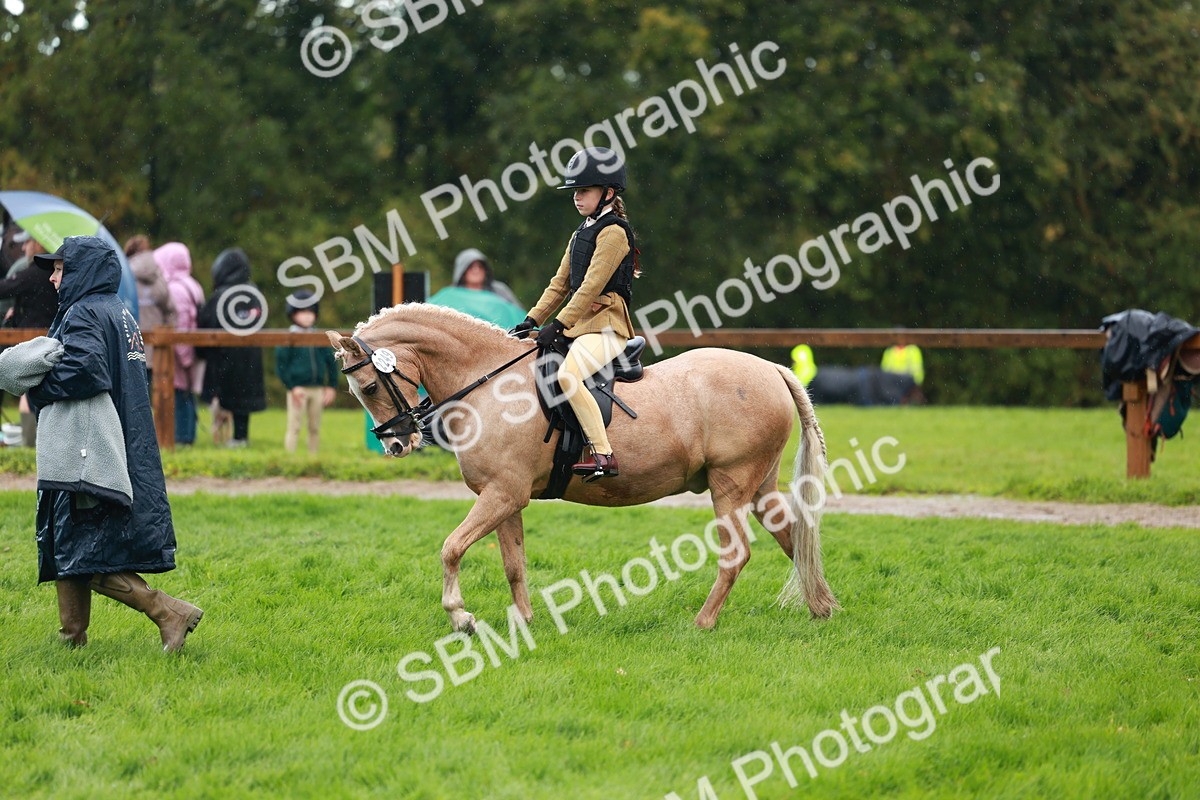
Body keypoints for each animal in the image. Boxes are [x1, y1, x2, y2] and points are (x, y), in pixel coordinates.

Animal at [327, 303, 838, 632]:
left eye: (370, 386)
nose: (397, 443)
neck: (488, 384)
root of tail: (771, 369)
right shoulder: (505, 498)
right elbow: (514, 564)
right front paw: (524, 621)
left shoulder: (502, 494)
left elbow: (451, 549)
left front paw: (461, 617)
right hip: (759, 487)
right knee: (793, 538)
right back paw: (822, 608)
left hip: (730, 486)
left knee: (737, 555)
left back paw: (703, 622)